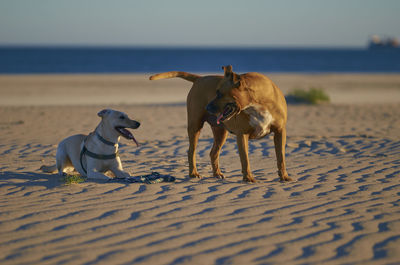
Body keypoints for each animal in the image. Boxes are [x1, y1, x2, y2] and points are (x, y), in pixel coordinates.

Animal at [150, 65, 290, 182]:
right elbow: (245, 159)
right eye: (216, 92)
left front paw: (284, 177)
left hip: (221, 132)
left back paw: (217, 173)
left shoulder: (280, 132)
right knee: (191, 151)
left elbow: (281, 157)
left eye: (219, 93)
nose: (207, 107)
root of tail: (200, 78)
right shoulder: (242, 135)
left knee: (213, 153)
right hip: (195, 127)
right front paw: (248, 178)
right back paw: (193, 173)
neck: (258, 103)